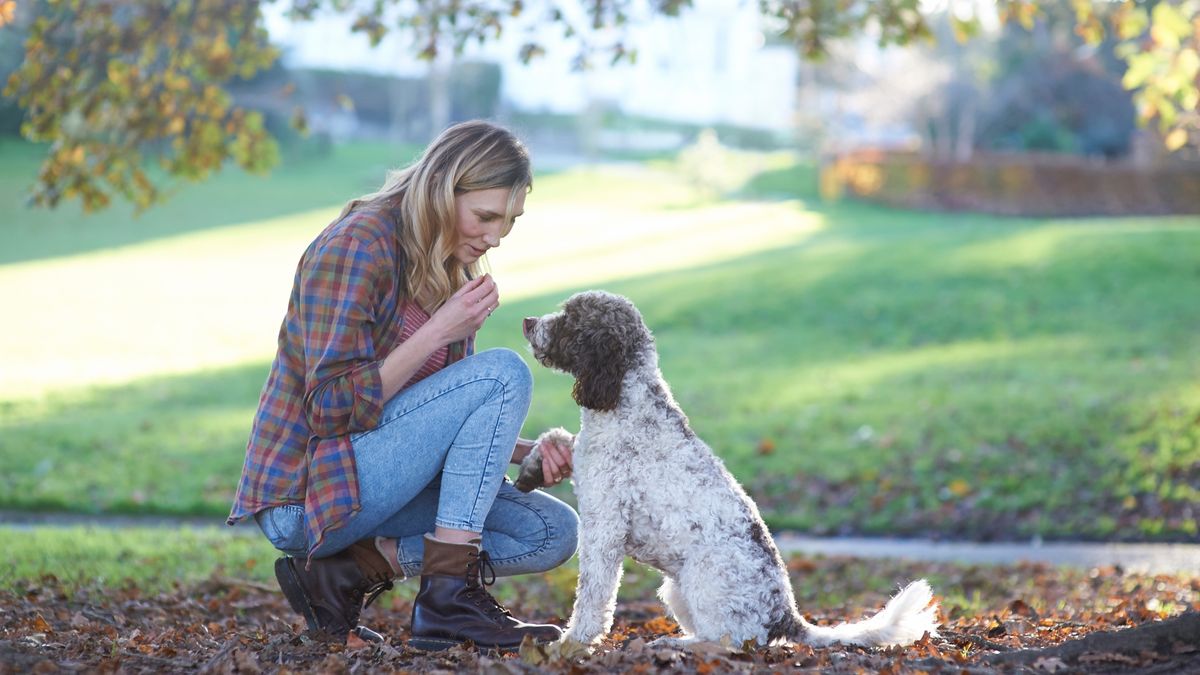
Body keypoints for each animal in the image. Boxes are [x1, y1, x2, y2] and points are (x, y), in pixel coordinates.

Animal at [516, 288, 936, 648]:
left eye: (570, 318)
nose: (527, 320)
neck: (624, 400)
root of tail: (786, 616)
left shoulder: (605, 526)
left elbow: (593, 594)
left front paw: (574, 640)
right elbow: (558, 438)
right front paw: (532, 469)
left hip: (701, 578)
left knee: (727, 640)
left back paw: (674, 643)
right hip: (676, 588)